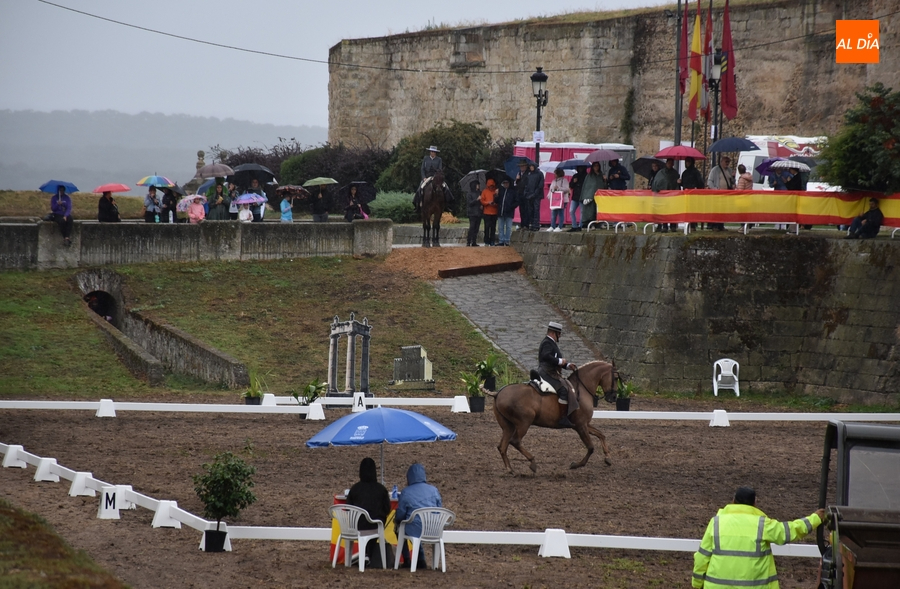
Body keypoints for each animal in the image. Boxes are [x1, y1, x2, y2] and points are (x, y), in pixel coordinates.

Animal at [491, 360, 620, 474]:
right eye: (616, 378)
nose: (614, 397)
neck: (582, 389)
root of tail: (498, 393)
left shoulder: (584, 424)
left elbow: (601, 435)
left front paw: (608, 458)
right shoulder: (581, 426)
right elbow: (591, 447)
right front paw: (576, 465)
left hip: (508, 426)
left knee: (502, 446)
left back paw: (510, 469)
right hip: (524, 423)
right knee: (515, 441)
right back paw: (532, 462)